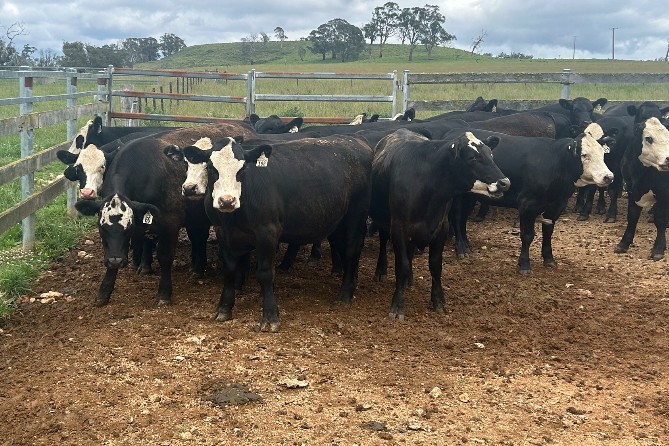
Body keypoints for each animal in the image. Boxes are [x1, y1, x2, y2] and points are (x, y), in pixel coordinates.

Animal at [182, 135, 373, 332]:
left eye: (242, 169)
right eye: (211, 168)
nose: (227, 201)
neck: (234, 217)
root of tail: (353, 139)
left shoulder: (268, 231)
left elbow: (265, 273)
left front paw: (270, 316)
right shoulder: (222, 232)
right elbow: (228, 269)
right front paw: (224, 308)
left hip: (356, 213)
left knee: (352, 250)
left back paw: (345, 295)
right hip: (338, 220)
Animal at [370, 128, 510, 320]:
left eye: (490, 154)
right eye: (472, 157)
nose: (505, 183)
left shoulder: (441, 228)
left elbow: (435, 265)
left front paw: (438, 300)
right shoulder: (399, 228)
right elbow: (402, 266)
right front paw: (397, 305)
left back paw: (410, 281)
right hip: (384, 220)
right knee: (384, 242)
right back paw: (381, 270)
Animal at [449, 128, 614, 274]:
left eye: (602, 153)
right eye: (584, 155)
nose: (608, 177)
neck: (555, 163)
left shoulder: (557, 204)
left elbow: (548, 232)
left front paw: (549, 258)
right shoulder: (527, 204)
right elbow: (527, 235)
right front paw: (524, 264)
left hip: (470, 196)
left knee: (463, 218)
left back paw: (466, 244)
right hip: (457, 196)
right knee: (457, 217)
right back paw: (460, 248)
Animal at [614, 102, 669, 260]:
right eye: (648, 138)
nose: (667, 159)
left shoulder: (663, 192)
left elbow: (661, 219)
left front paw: (658, 248)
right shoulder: (632, 190)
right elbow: (632, 216)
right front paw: (623, 243)